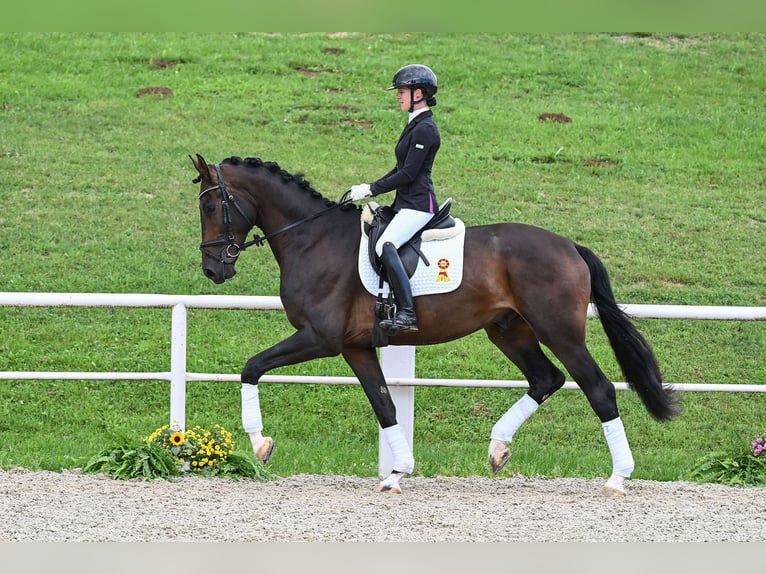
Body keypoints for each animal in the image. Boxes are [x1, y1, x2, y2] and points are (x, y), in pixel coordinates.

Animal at [190, 155, 680, 498]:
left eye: (213, 205)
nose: (213, 270)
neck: (314, 240)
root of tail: (570, 246)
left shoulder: (319, 339)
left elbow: (252, 367)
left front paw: (260, 445)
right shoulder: (355, 347)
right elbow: (385, 406)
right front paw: (396, 474)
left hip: (558, 331)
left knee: (598, 388)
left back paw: (617, 479)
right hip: (509, 329)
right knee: (546, 379)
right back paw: (498, 449)